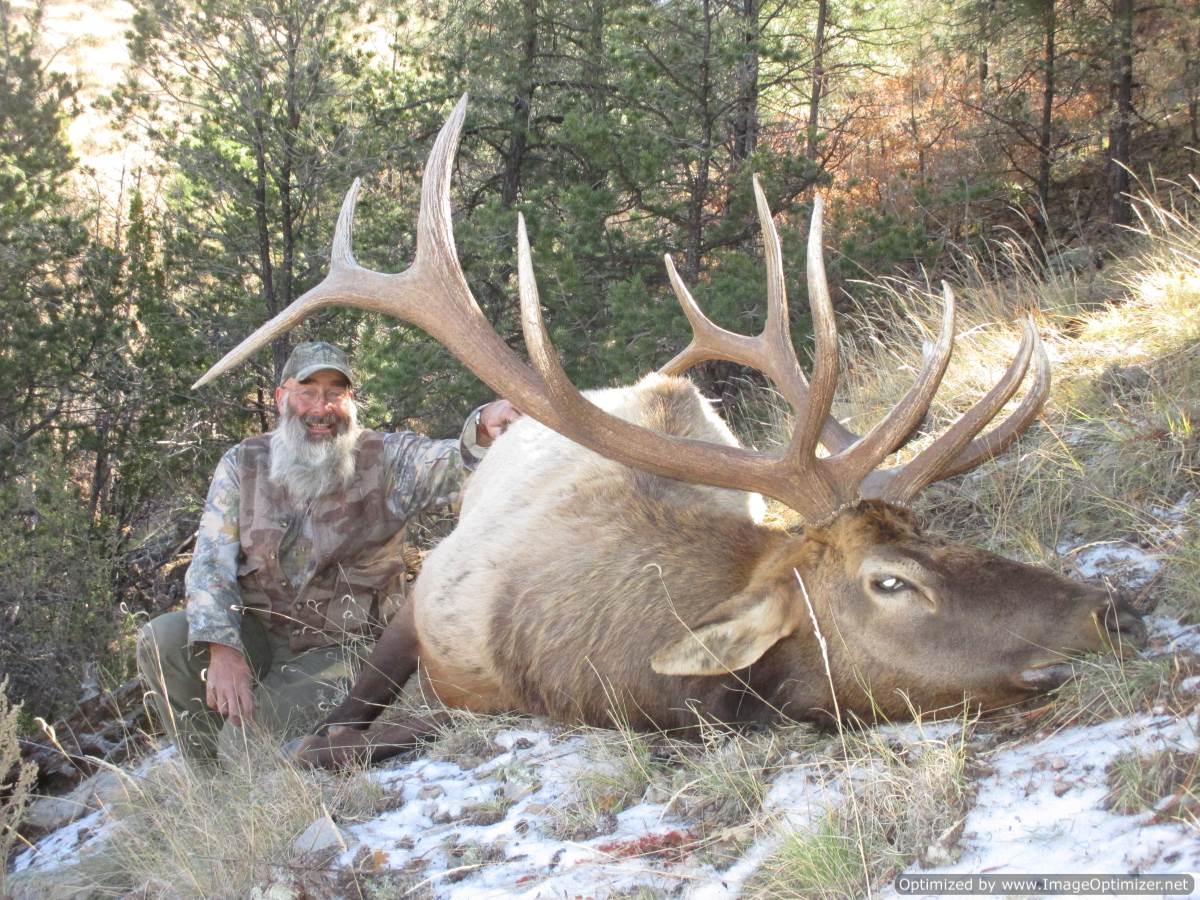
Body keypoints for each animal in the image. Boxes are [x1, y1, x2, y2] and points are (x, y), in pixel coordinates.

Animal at [194, 97, 1142, 768]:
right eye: (889, 581)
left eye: (941, 535)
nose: (1114, 608)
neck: (596, 665)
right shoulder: (422, 612)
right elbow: (334, 738)